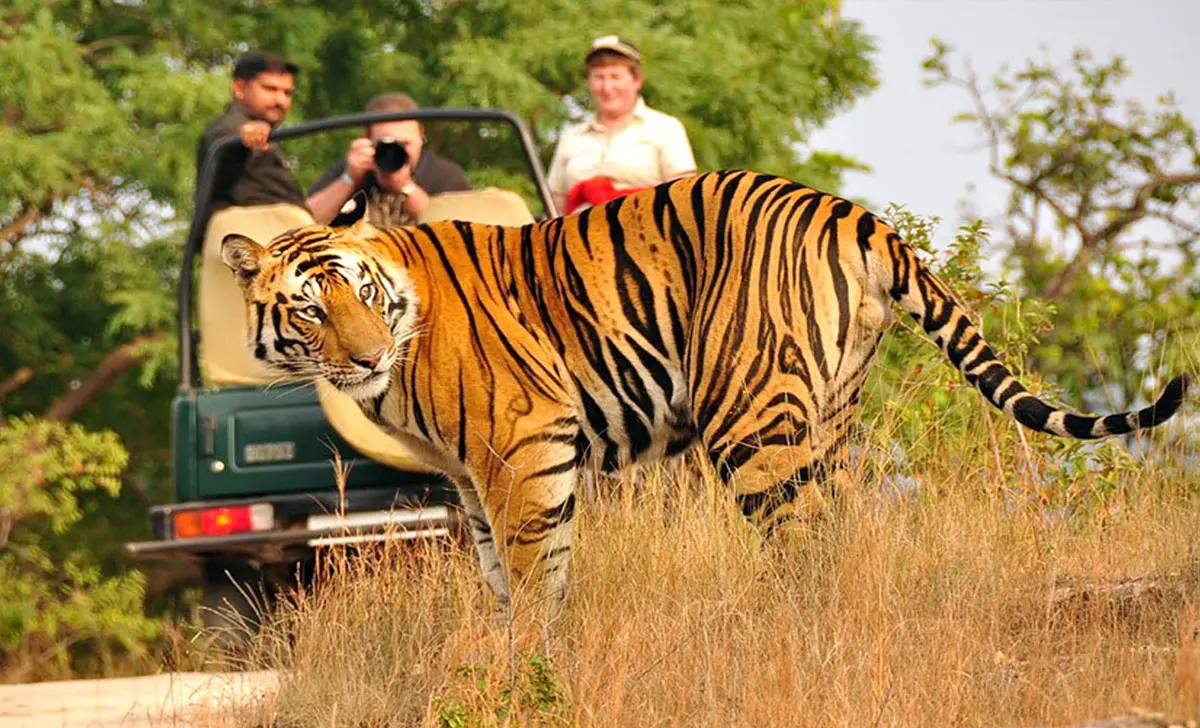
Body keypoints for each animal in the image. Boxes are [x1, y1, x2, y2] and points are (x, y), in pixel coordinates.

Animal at [220, 169, 1190, 607]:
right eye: (310, 310)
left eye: (360, 293)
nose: (365, 357)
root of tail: (853, 210)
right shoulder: (468, 478)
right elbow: (501, 579)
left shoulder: (525, 448)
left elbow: (535, 576)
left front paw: (533, 666)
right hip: (831, 416)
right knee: (843, 534)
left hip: (750, 419)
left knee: (802, 545)